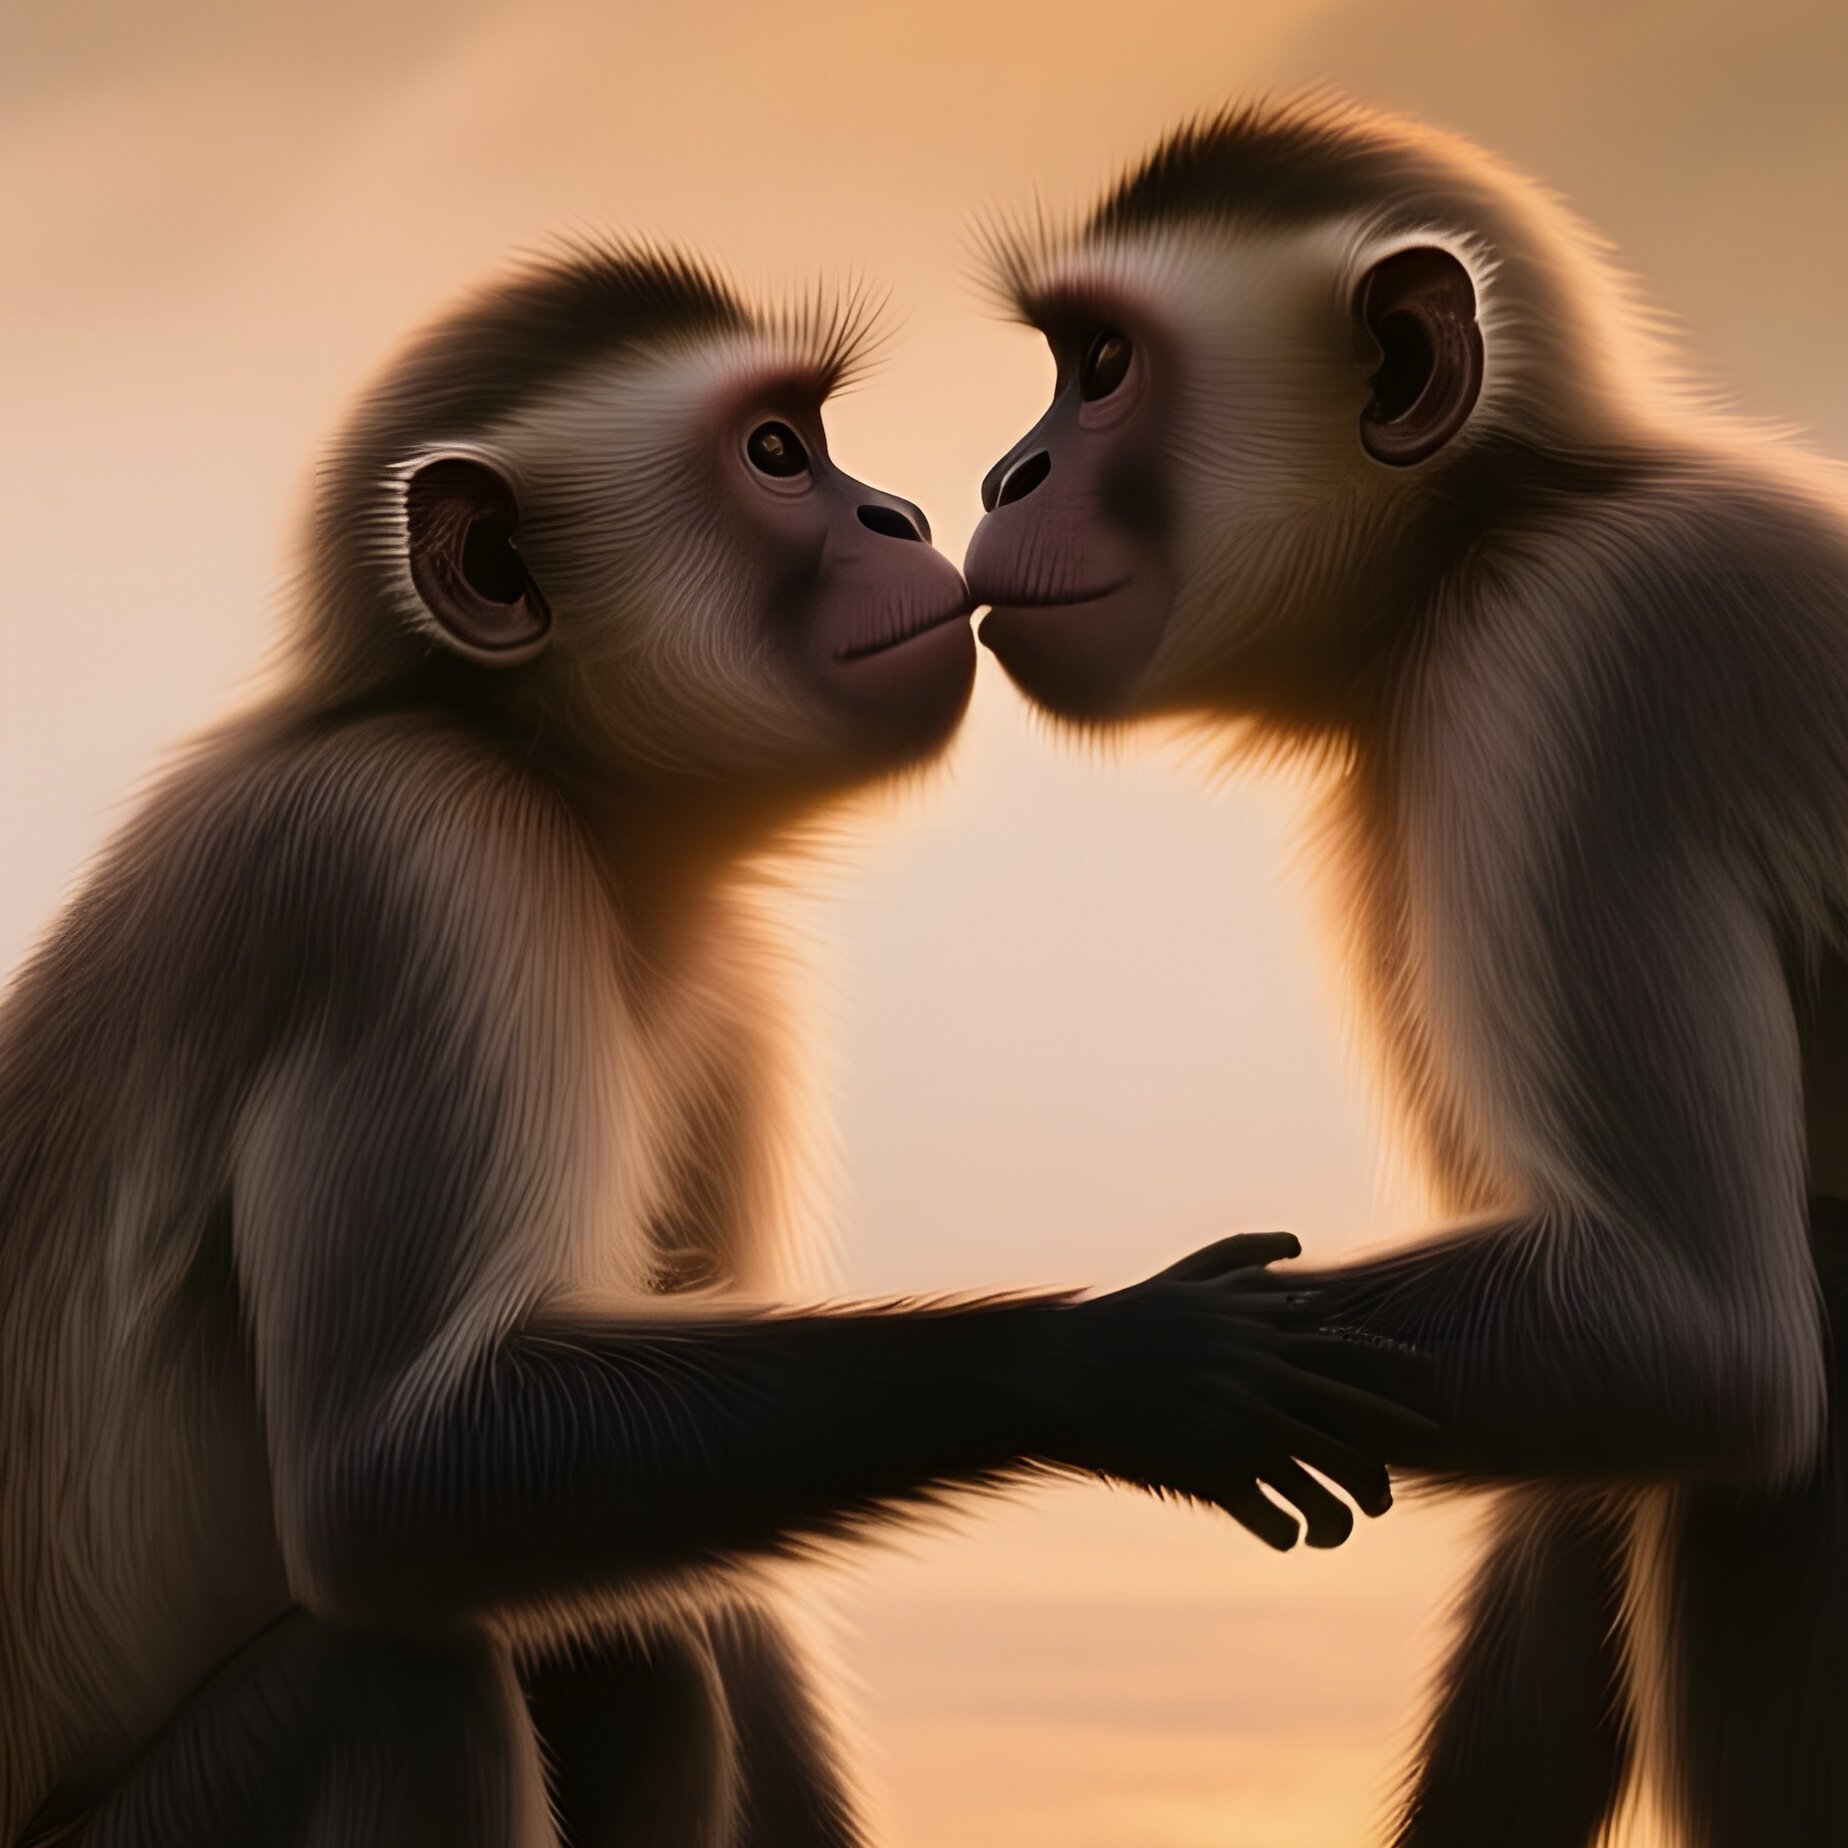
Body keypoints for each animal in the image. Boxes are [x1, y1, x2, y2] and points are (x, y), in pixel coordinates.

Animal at [0, 242, 1432, 1848]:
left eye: (816, 444)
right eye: (777, 455)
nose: (902, 514)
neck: (561, 791)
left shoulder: (731, 978)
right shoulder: (410, 861)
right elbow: (397, 1482)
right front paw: (1120, 1359)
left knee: (628, 1636)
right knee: (404, 1680)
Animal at [962, 95, 1848, 1847]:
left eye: (1104, 368)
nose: (1005, 470)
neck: (1510, 523)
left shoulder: (1577, 675)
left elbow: (1686, 1333)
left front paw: (1143, 1370)